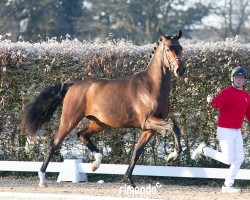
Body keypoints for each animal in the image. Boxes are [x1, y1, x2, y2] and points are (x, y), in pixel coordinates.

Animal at [22, 29, 186, 188]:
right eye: (169, 48)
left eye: (181, 48)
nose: (180, 70)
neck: (152, 86)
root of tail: (72, 85)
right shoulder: (149, 121)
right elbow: (174, 127)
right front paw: (172, 156)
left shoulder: (150, 128)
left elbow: (137, 151)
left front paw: (129, 180)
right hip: (69, 121)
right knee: (53, 144)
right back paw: (42, 179)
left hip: (100, 123)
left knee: (82, 135)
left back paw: (96, 163)